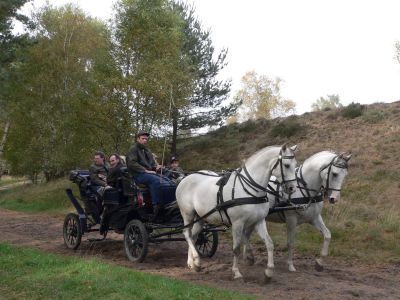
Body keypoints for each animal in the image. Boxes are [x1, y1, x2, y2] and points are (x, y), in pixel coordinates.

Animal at [177, 145, 298, 282]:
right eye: (287, 165)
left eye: (296, 165)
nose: (292, 188)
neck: (250, 190)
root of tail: (184, 179)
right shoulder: (237, 223)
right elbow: (236, 249)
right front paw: (236, 272)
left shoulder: (259, 221)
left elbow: (269, 243)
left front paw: (269, 272)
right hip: (188, 214)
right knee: (187, 234)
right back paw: (197, 261)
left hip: (200, 218)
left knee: (193, 237)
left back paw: (192, 263)